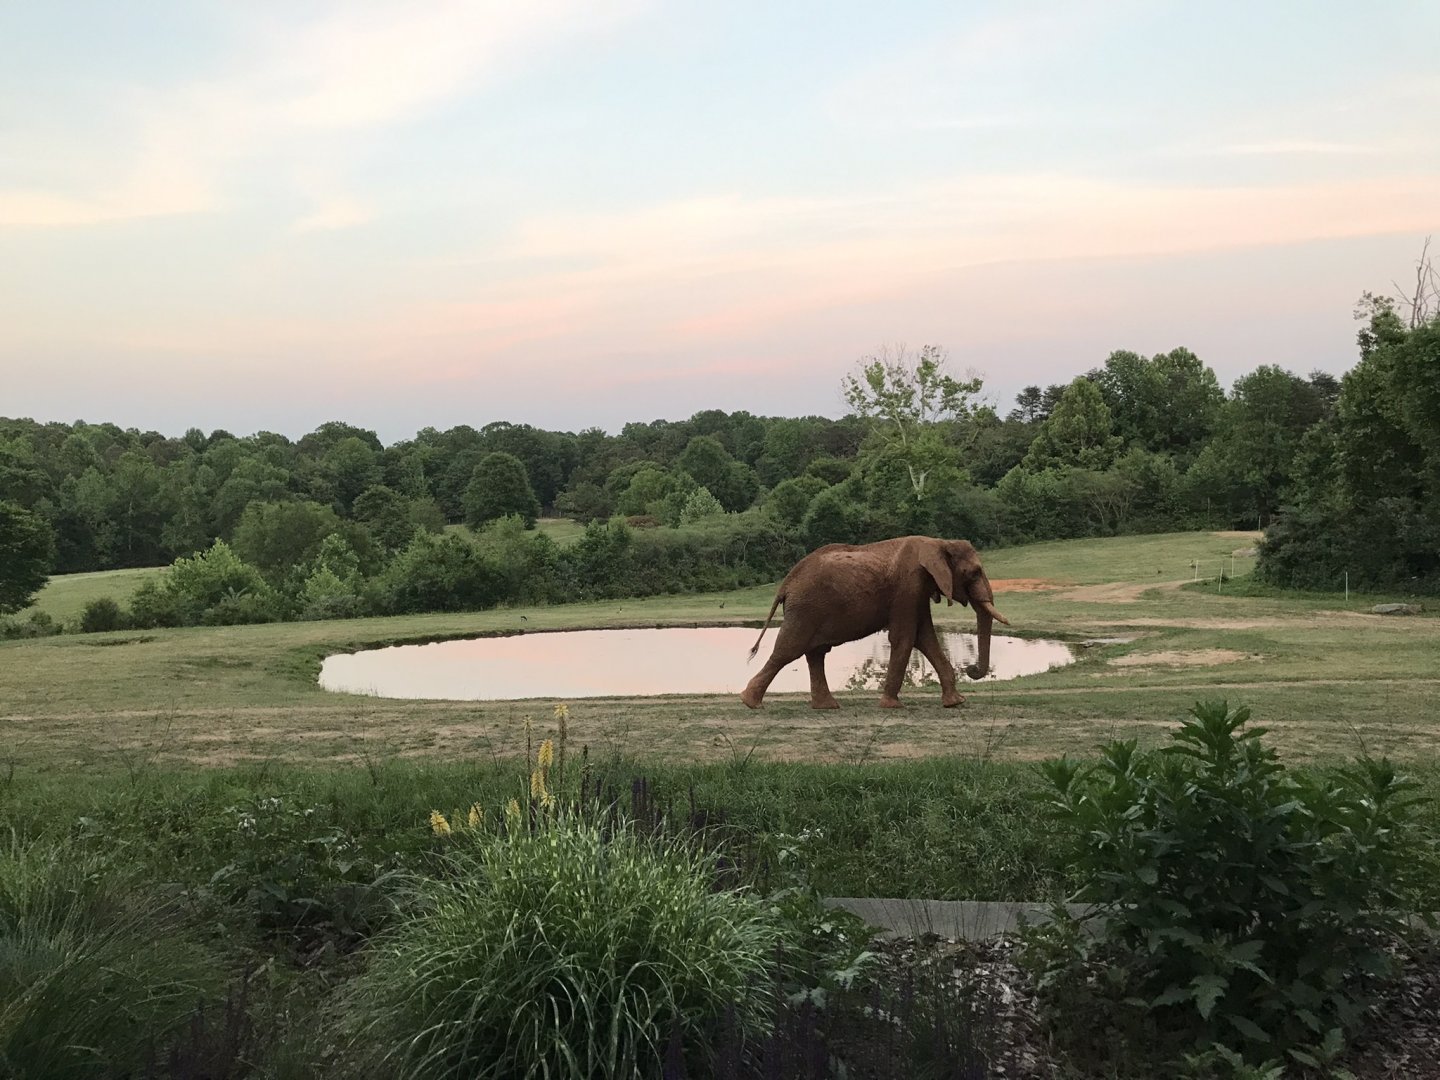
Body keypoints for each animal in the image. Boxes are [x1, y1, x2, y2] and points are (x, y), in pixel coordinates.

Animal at [739, 536, 1009, 710]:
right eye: (974, 573)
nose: (971, 669)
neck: (939, 542)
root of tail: (785, 584)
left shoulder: (918, 591)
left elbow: (925, 638)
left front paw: (955, 703)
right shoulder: (908, 586)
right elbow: (905, 637)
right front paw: (892, 706)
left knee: (815, 653)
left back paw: (827, 707)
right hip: (805, 609)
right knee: (788, 650)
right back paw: (750, 703)